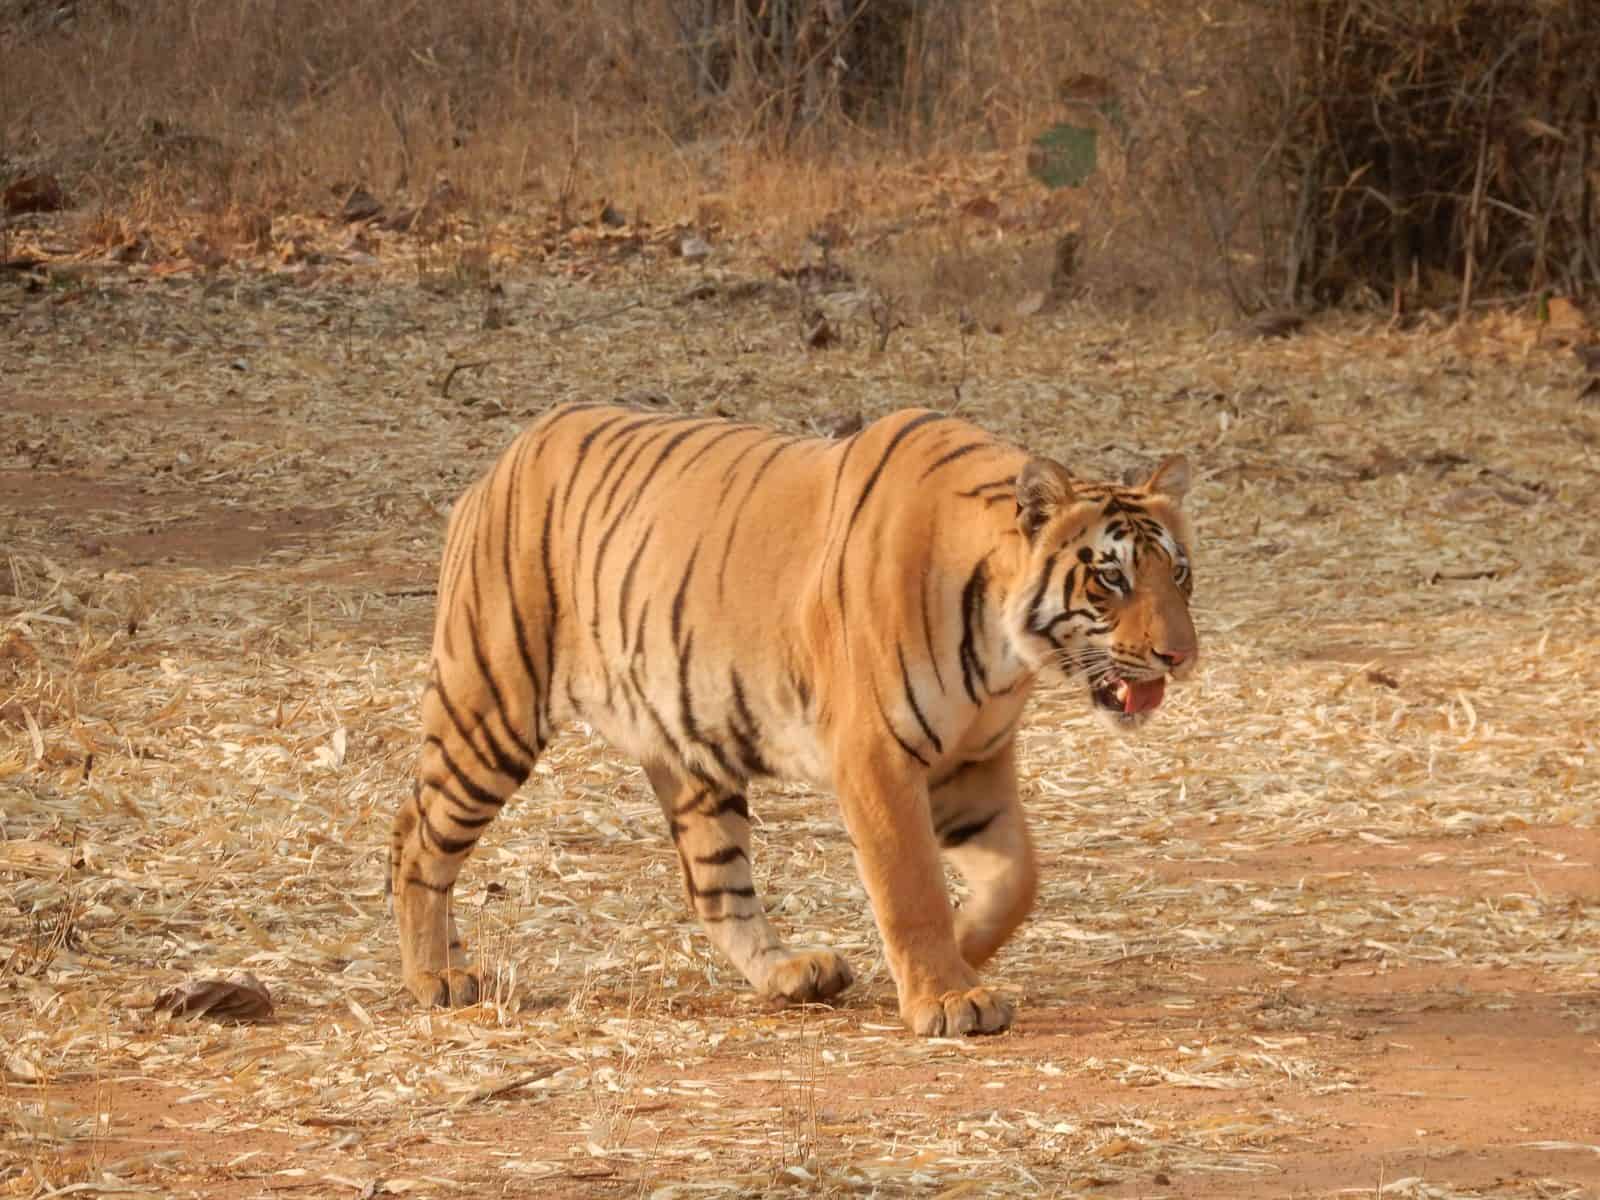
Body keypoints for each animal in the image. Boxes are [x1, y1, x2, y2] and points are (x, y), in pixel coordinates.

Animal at [387, 406, 1196, 1043]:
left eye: (1179, 572)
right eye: (1112, 577)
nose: (1180, 656)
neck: (1007, 650)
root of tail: (499, 465)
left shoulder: (975, 763)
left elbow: (1018, 878)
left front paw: (959, 954)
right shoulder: (878, 756)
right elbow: (912, 885)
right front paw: (946, 995)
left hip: (694, 749)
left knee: (715, 886)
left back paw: (791, 974)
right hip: (491, 708)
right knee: (416, 835)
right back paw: (438, 979)